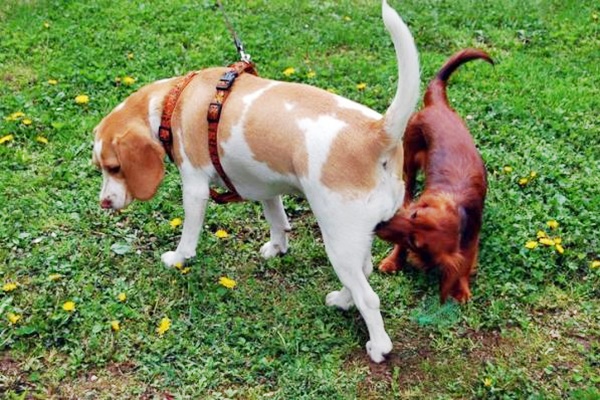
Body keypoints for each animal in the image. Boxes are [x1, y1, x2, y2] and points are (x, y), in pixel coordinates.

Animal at [91, 0, 420, 362]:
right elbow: (276, 219)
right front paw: (277, 248)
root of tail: (377, 133)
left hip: (338, 239)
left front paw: (177, 259)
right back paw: (341, 301)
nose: (104, 203)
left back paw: (378, 345)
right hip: (355, 237)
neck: (172, 100)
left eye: (114, 167)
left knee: (368, 296)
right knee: (365, 272)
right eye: (100, 167)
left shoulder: (194, 186)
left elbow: (188, 236)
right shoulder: (267, 186)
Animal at [376, 47, 492, 304]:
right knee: (408, 184)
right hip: (410, 157)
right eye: (415, 215)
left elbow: (465, 263)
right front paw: (392, 261)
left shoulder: (471, 239)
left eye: (416, 242)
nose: (379, 224)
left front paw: (461, 288)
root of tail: (439, 105)